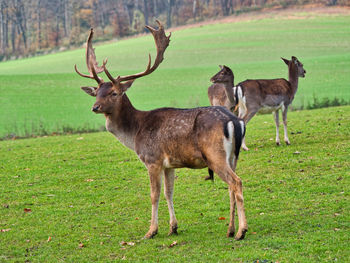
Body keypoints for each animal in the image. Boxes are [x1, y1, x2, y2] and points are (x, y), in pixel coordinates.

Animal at [75, 21, 247, 241]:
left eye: (114, 93)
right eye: (96, 93)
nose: (95, 107)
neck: (135, 133)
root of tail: (234, 121)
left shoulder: (152, 159)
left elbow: (154, 195)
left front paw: (151, 231)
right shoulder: (169, 164)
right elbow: (169, 192)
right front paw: (173, 227)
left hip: (214, 154)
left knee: (236, 183)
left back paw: (241, 231)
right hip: (233, 156)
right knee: (231, 187)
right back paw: (230, 229)